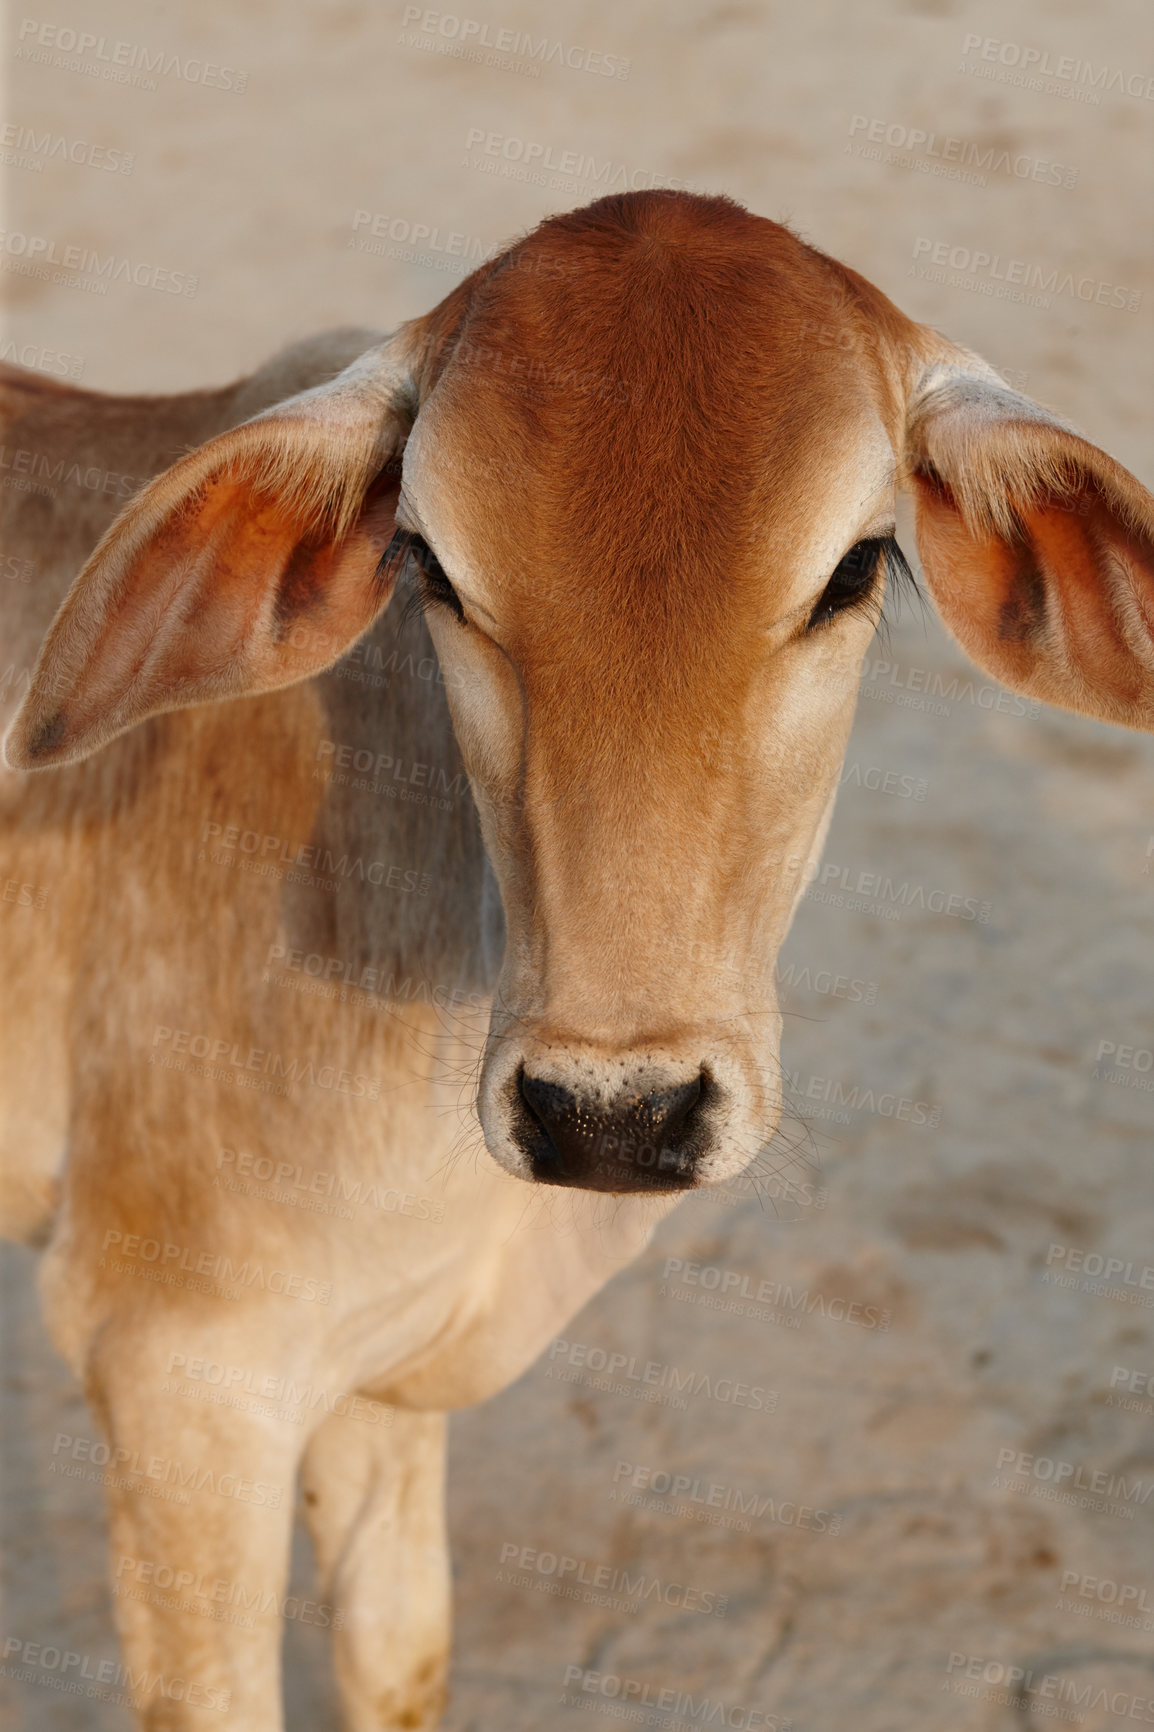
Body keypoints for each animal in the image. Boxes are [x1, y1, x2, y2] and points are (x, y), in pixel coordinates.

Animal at [2, 189, 1150, 1718]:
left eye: (854, 568)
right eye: (430, 565)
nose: (611, 1113)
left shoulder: (373, 1379)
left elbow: (399, 1650)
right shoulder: (176, 1366)